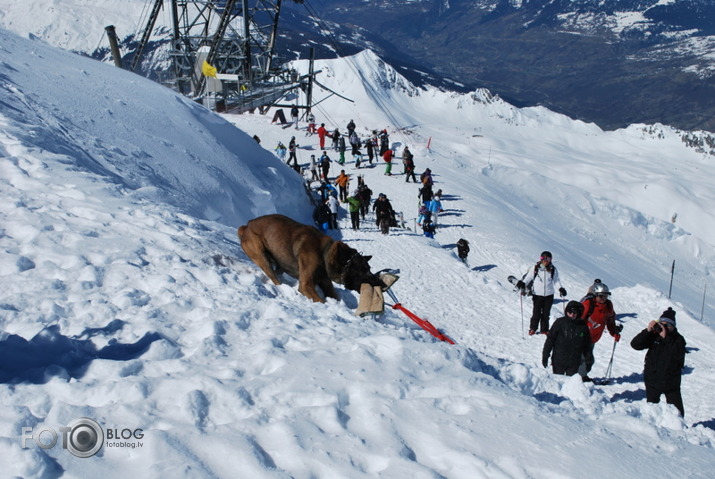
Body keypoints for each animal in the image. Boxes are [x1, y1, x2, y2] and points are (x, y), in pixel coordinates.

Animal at [238, 215, 380, 302]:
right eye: (362, 270)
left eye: (369, 268)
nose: (380, 283)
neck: (323, 253)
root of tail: (246, 226)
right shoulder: (306, 285)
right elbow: (321, 301)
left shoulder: (326, 283)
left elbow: (334, 296)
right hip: (261, 256)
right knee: (274, 277)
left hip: (280, 262)